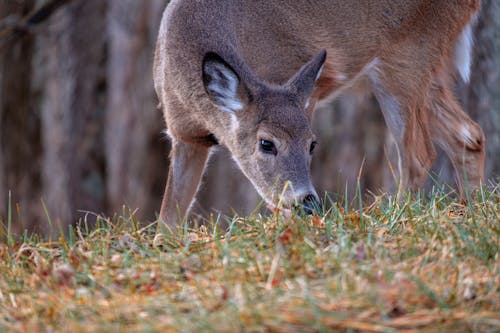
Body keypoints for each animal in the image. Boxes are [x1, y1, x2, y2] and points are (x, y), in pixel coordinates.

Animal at [152, 0, 484, 228]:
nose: (308, 202)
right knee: (469, 135)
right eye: (266, 143)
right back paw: (471, 209)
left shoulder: (303, 84)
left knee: (419, 154)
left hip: (406, 57)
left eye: (312, 144)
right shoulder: (185, 134)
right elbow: (169, 215)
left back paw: (396, 219)